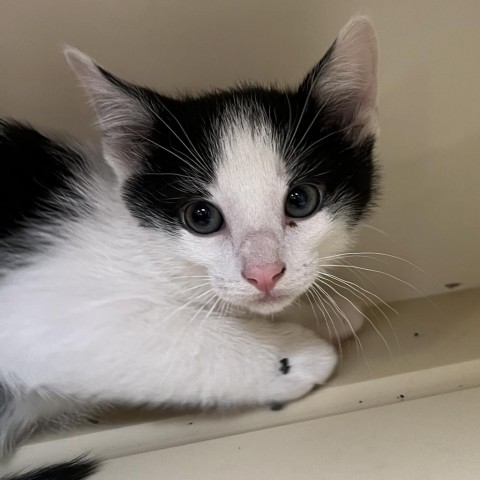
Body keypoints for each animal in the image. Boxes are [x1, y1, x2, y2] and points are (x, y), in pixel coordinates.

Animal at [0, 14, 378, 464]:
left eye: (301, 200)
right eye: (201, 217)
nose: (264, 273)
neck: (144, 247)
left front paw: (322, 312)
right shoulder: (31, 309)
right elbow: (164, 336)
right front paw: (292, 355)